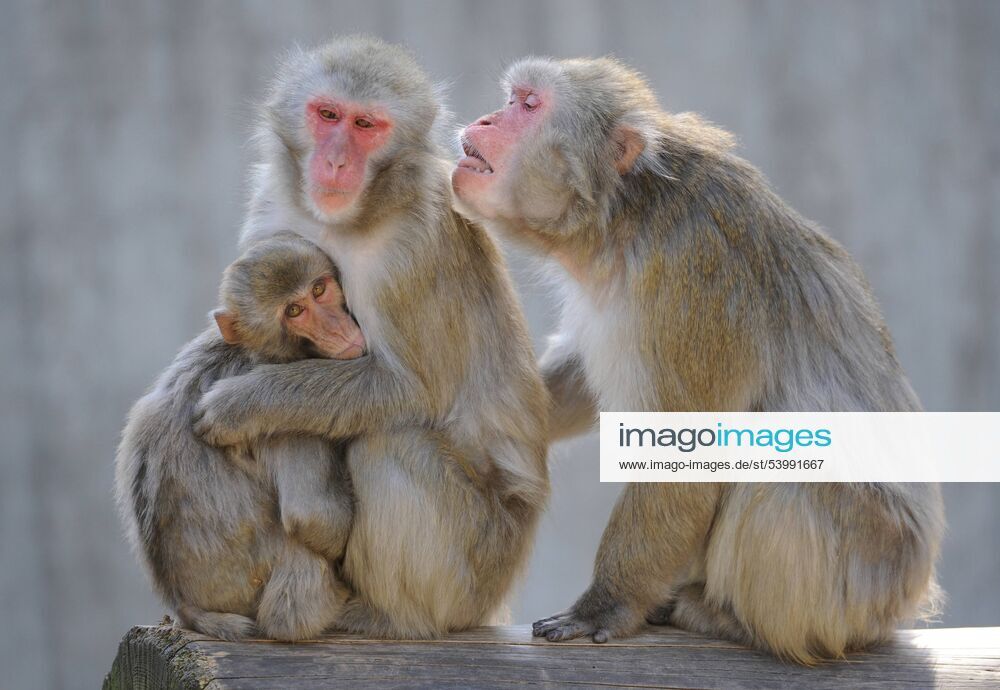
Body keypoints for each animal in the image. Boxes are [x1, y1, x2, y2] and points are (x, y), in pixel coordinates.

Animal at [115, 232, 365, 641]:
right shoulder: (285, 422)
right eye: (294, 311)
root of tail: (185, 606)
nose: (336, 327)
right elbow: (311, 514)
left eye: (318, 289)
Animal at [190, 37, 550, 639]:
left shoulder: (415, 250)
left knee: (389, 444)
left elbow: (412, 391)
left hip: (476, 565)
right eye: (328, 115)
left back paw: (389, 617)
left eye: (365, 125)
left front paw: (244, 404)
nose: (336, 160)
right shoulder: (270, 211)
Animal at [451, 56, 944, 663]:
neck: (625, 217)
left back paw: (731, 620)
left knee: (778, 476)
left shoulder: (696, 280)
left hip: (862, 583)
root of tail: (906, 598)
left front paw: (605, 605)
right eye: (511, 99)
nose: (486, 119)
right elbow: (572, 389)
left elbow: (687, 451)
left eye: (527, 104)